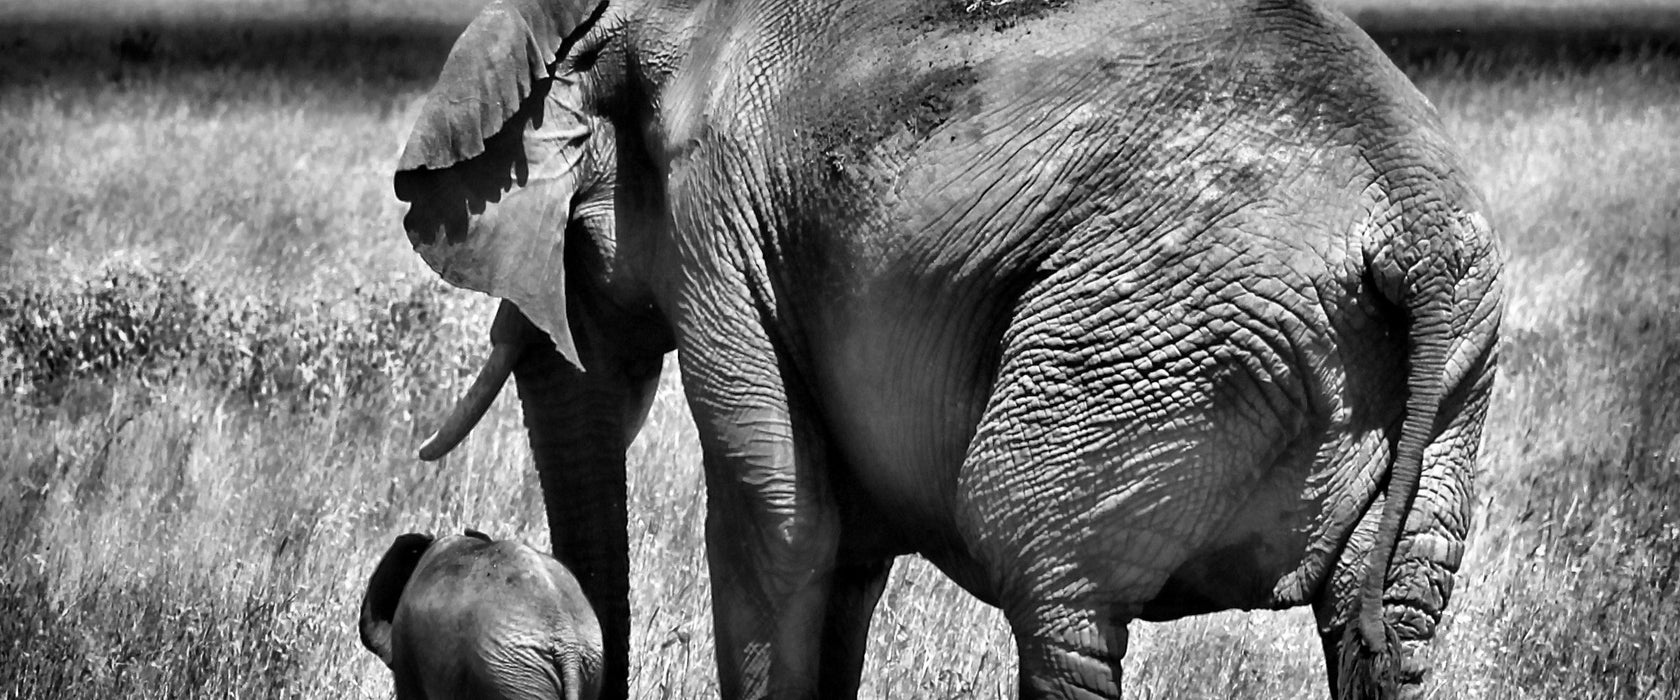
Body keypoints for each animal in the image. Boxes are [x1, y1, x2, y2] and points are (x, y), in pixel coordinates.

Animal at [396, 1, 1512, 698]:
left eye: (571, 243)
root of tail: (1410, 220)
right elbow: (843, 546)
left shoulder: (717, 220)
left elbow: (781, 517)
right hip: (1451, 365)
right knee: (1388, 616)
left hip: (1148, 333)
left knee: (1046, 571)